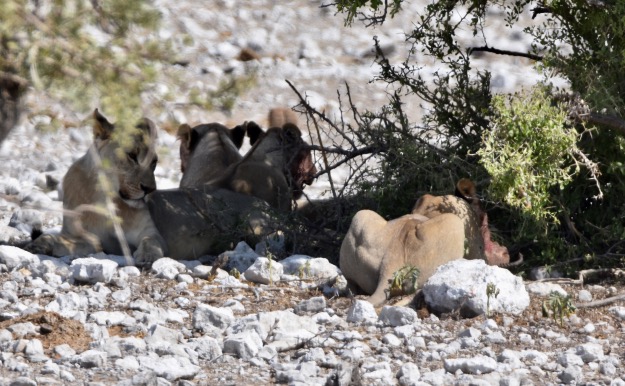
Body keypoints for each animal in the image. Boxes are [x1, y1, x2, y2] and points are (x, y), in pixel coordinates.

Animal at [25, 108, 166, 266]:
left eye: (154, 162)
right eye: (132, 155)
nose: (150, 189)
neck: (107, 197)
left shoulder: (149, 230)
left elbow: (151, 240)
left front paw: (148, 256)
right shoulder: (73, 232)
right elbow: (86, 241)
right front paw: (40, 245)